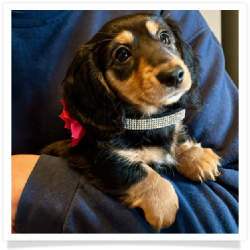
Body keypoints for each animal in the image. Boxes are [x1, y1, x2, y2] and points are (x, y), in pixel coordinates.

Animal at [42, 13, 222, 231]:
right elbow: (137, 172)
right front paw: (163, 203)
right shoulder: (89, 154)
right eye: (122, 54)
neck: (148, 122)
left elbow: (177, 136)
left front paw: (196, 156)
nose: (175, 75)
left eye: (164, 37)